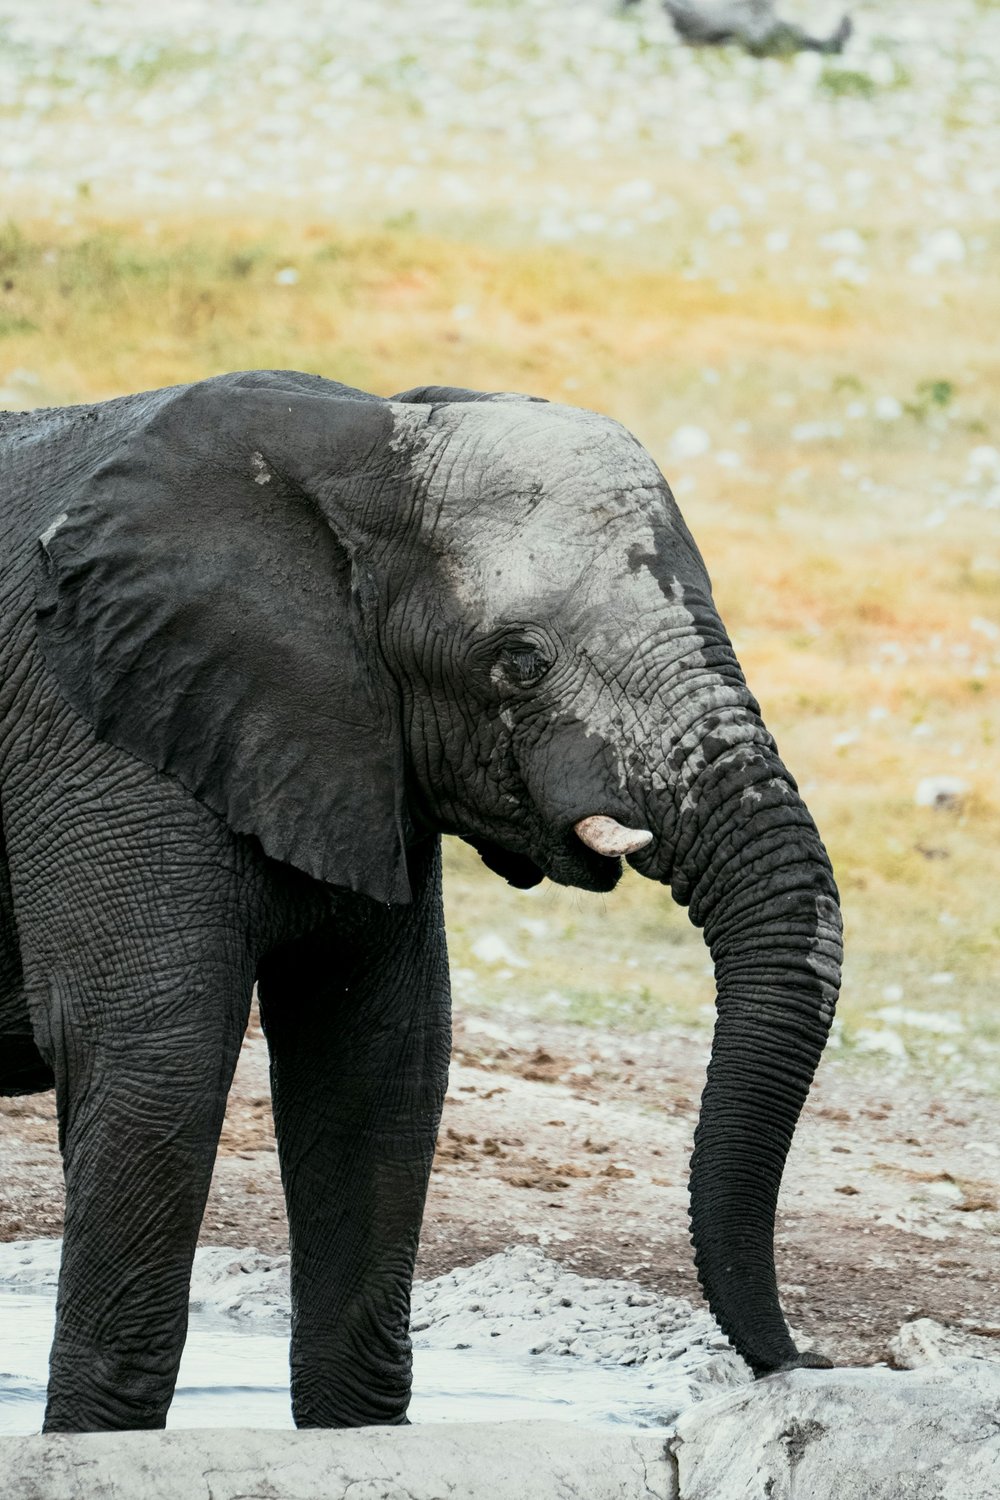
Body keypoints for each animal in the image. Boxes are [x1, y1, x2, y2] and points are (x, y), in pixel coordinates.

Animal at [0, 368, 842, 1432]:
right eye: (518, 661)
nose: (805, 1361)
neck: (358, 441)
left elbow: (377, 1063)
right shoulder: (94, 722)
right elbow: (158, 1054)